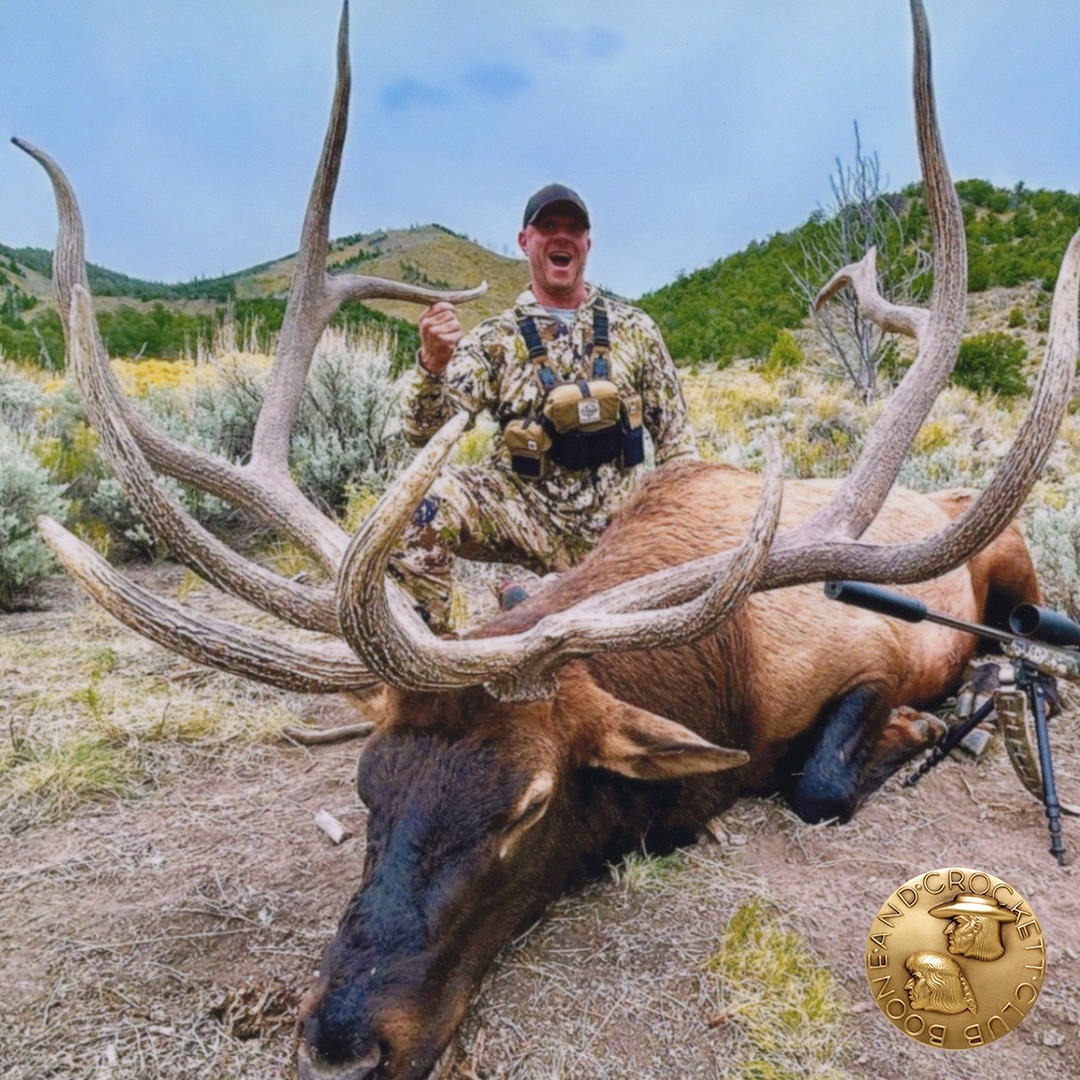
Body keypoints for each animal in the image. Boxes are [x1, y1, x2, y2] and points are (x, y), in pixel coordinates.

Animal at [14, 1, 1080, 1078]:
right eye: (368, 787)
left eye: (527, 806)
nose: (341, 1044)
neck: (724, 678)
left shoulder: (866, 657)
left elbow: (820, 780)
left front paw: (925, 729)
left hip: (1015, 564)